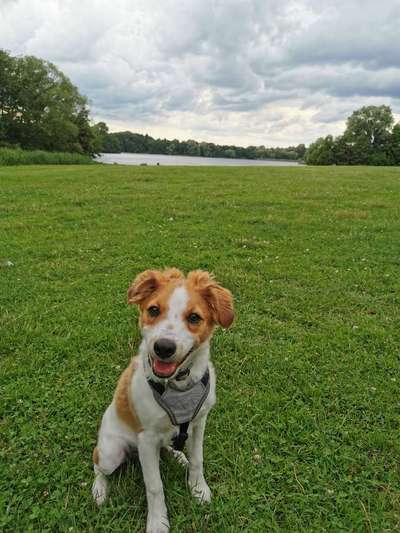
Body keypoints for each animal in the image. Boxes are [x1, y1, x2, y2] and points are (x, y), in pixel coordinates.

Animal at [92, 268, 233, 532]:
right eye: (154, 310)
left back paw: (179, 456)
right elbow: (155, 486)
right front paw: (158, 522)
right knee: (98, 466)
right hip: (109, 453)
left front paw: (199, 489)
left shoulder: (199, 423)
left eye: (194, 317)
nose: (164, 347)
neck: (178, 386)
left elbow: (198, 459)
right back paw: (99, 490)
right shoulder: (147, 439)